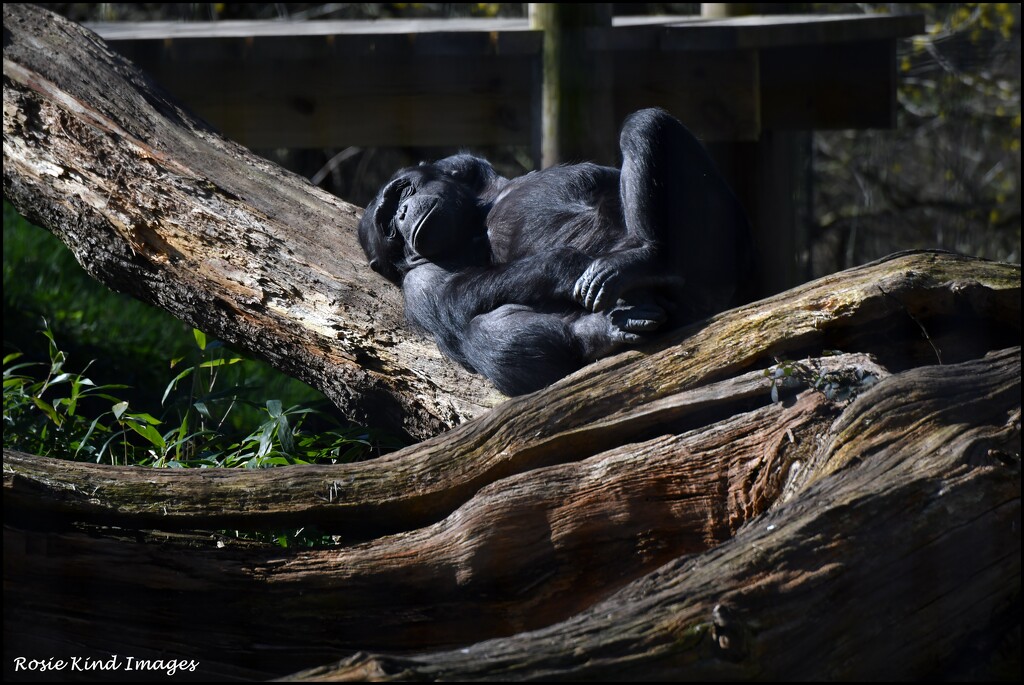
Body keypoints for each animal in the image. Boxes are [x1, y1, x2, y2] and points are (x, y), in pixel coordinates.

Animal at [360, 106, 753, 395]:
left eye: (401, 193)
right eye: (390, 231)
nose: (401, 214)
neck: (478, 215)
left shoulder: (468, 165)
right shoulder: (419, 282)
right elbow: (451, 298)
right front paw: (565, 265)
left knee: (644, 123)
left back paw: (644, 257)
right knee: (483, 330)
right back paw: (601, 329)